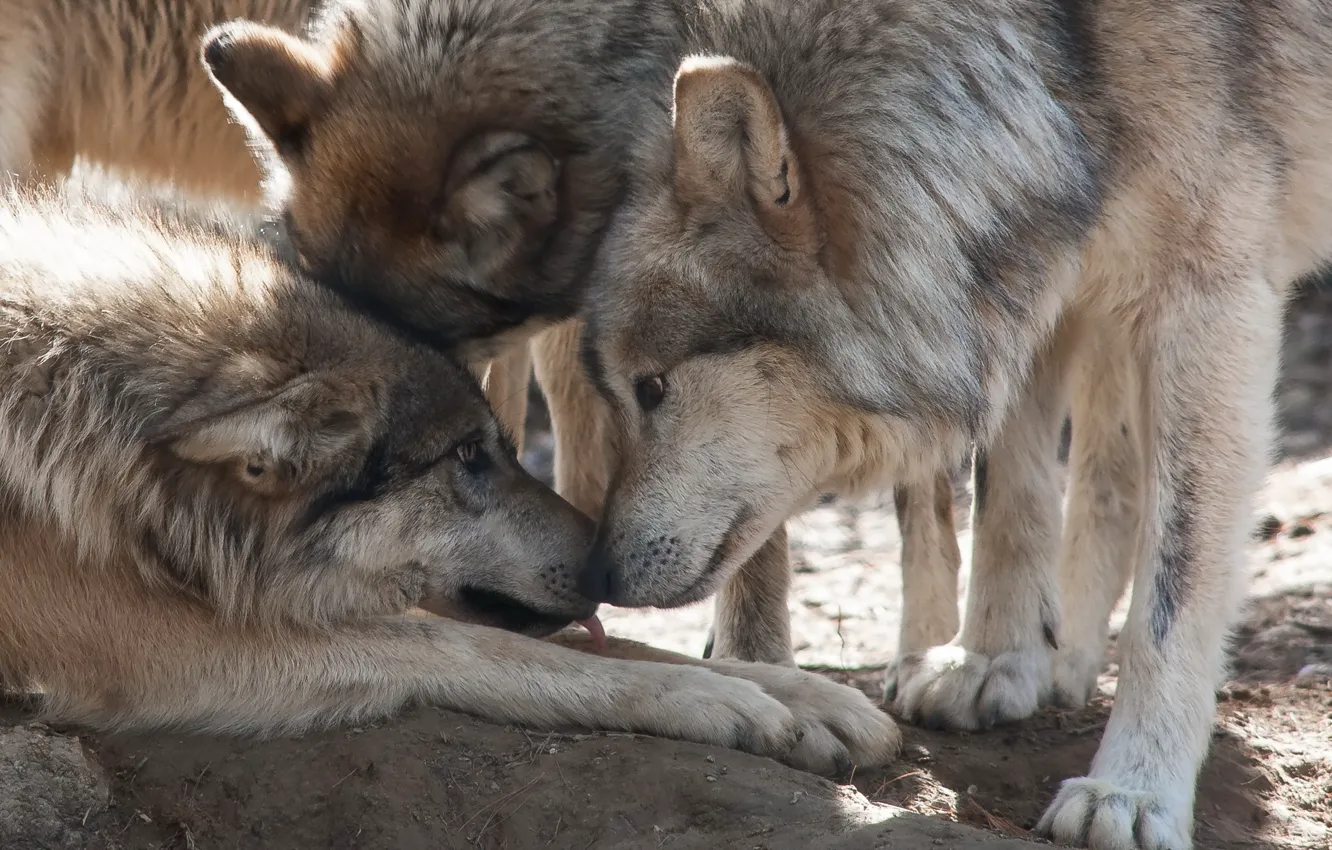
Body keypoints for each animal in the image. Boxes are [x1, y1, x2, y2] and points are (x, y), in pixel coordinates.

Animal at [0, 185, 901, 774]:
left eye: (500, 446)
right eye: (466, 457)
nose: (610, 567)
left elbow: (583, 640)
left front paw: (806, 697)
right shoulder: (160, 645)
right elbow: (476, 647)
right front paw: (713, 699)